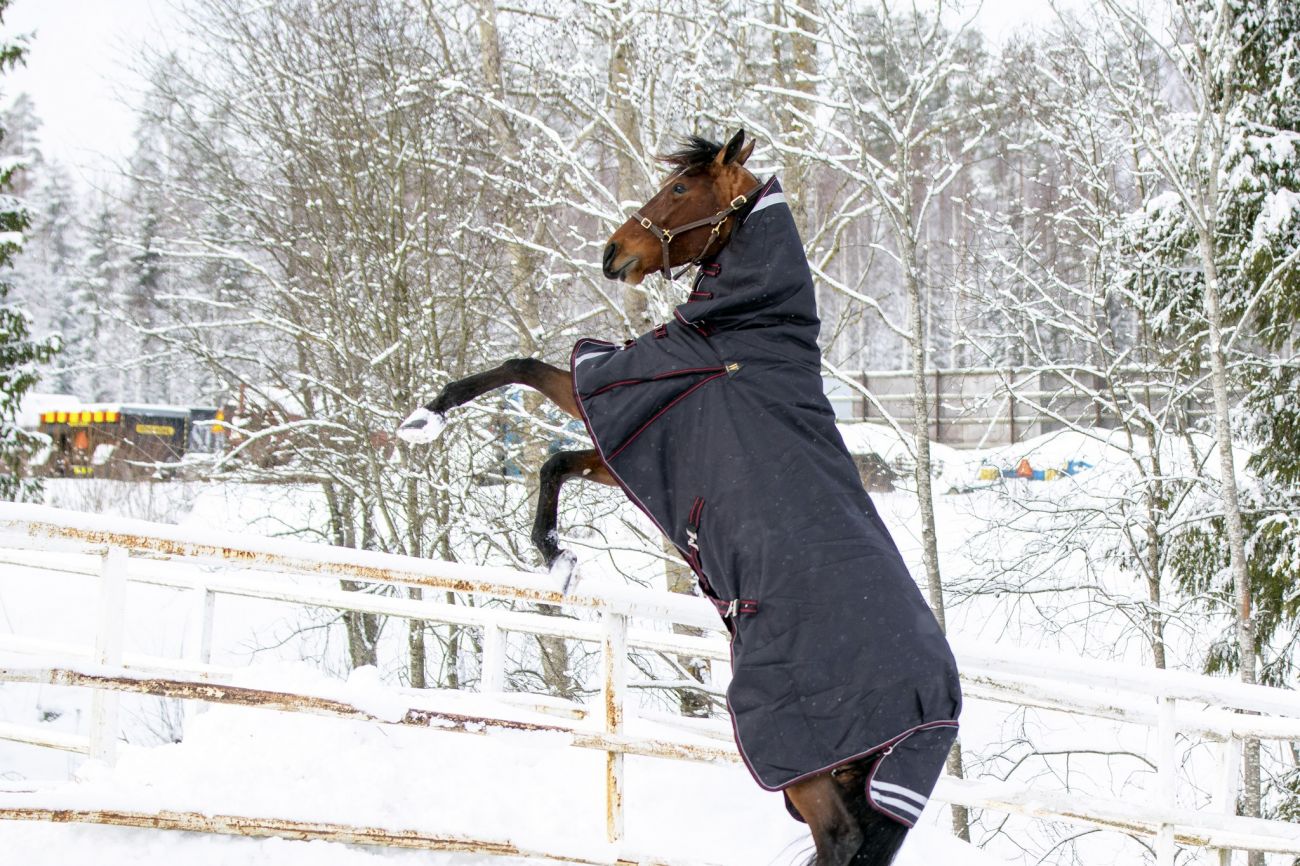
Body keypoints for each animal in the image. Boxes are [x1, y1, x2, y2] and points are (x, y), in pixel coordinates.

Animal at [398, 130, 961, 866]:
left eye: (679, 189)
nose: (613, 252)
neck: (743, 333)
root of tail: (938, 708)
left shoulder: (618, 393)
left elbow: (521, 368)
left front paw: (427, 418)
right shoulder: (635, 445)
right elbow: (556, 461)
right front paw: (556, 556)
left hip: (802, 766)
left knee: (836, 841)